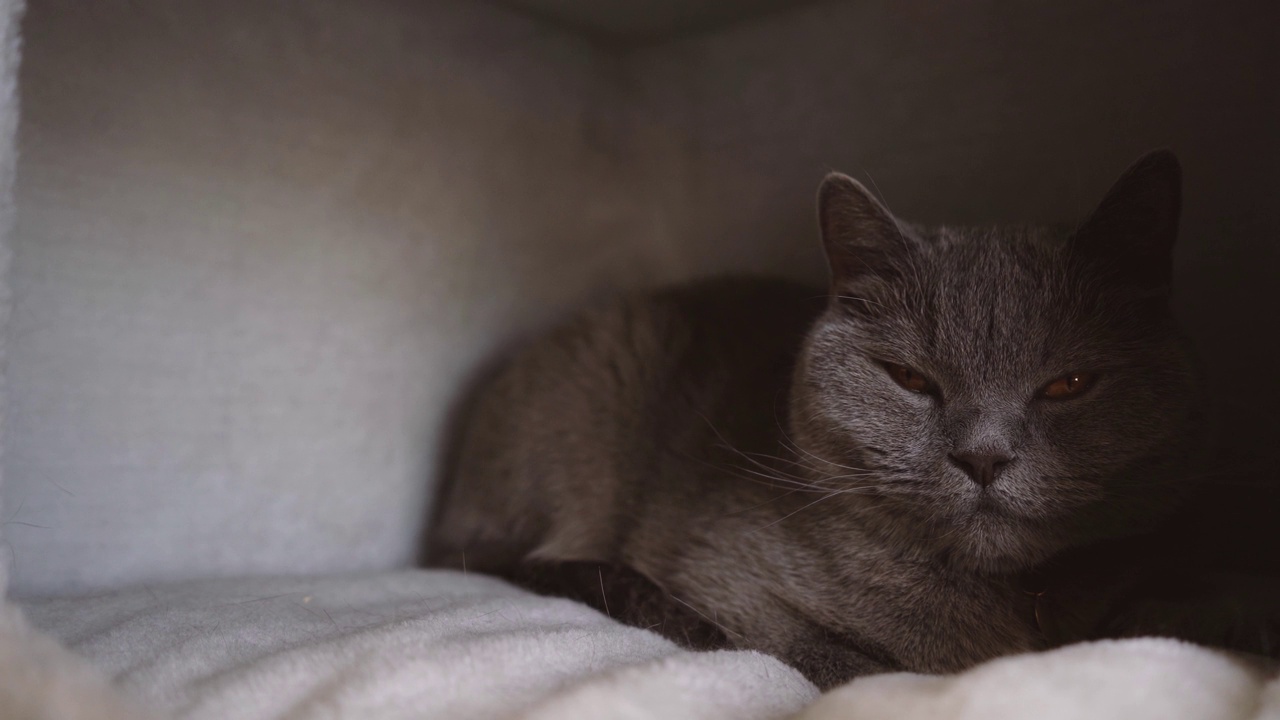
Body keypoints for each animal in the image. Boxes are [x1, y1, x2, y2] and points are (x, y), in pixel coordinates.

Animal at [427, 149, 1239, 681]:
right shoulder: (730, 573)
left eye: (1069, 383)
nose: (983, 455)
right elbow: (846, 662)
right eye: (911, 379)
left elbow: (1168, 609)